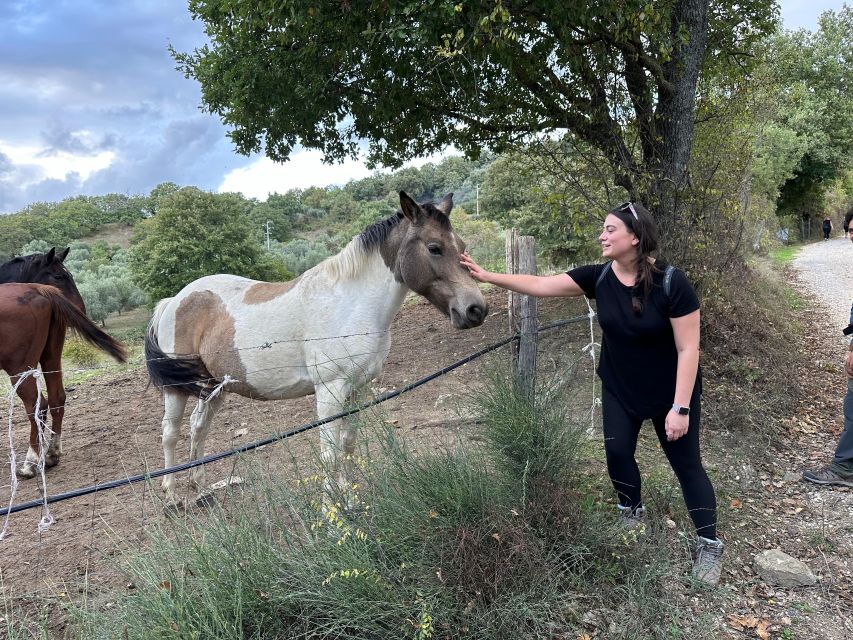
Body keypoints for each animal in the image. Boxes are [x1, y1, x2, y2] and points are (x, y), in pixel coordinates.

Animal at [0, 250, 126, 480]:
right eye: (59, 276)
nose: (81, 308)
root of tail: (39, 289)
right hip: (50, 357)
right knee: (57, 398)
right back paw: (52, 454)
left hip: (20, 369)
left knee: (38, 406)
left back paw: (31, 462)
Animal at [148, 192, 486, 502]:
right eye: (434, 247)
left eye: (462, 246)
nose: (475, 309)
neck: (351, 304)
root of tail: (175, 301)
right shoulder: (329, 391)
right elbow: (330, 451)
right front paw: (330, 509)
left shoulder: (359, 388)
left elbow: (348, 442)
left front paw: (349, 499)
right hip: (177, 390)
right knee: (170, 433)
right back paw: (171, 496)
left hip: (213, 386)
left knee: (199, 427)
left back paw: (201, 489)